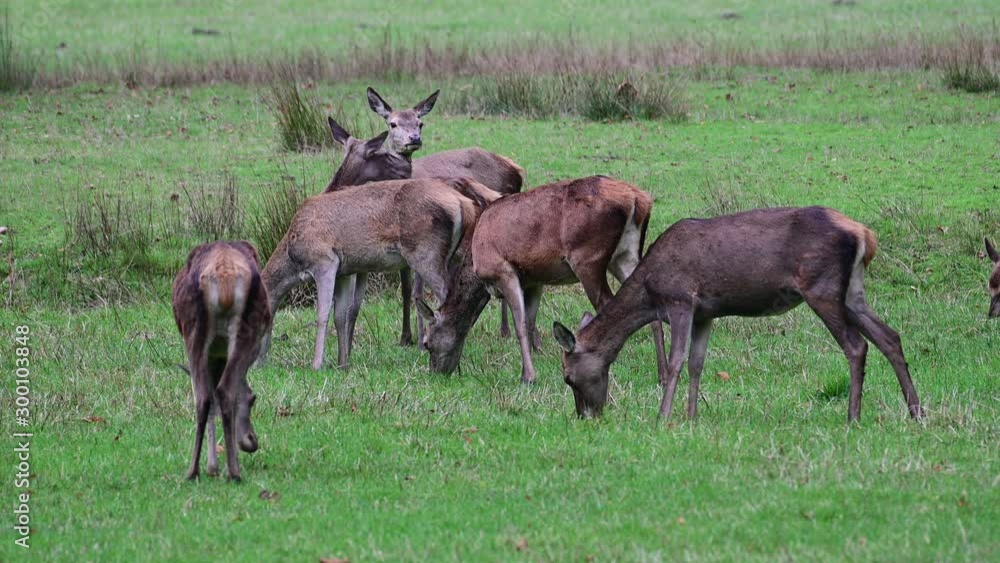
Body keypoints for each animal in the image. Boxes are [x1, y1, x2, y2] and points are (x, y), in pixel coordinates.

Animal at [172, 241, 271, 481]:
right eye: (253, 400)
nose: (252, 442)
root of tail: (225, 275)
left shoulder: (215, 354)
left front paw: (214, 467)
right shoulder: (218, 354)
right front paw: (216, 466)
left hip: (194, 330)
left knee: (208, 394)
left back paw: (211, 470)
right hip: (233, 332)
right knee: (216, 392)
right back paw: (218, 470)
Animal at [258, 170, 496, 370]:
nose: (258, 364)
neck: (293, 253)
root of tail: (464, 203)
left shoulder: (325, 261)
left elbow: (323, 313)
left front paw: (316, 365)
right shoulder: (345, 272)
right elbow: (341, 315)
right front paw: (342, 364)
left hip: (425, 254)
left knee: (447, 297)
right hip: (451, 254)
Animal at [416, 175, 668, 385]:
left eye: (427, 343)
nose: (437, 373)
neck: (476, 262)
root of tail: (638, 199)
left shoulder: (503, 270)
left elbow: (520, 325)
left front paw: (528, 377)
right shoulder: (534, 281)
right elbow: (530, 322)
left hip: (588, 258)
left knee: (609, 307)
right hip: (625, 255)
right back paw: (662, 374)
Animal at [552, 206, 925, 423]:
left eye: (568, 377)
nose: (585, 417)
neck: (649, 290)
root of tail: (865, 234)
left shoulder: (680, 299)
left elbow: (675, 362)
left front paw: (663, 418)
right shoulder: (706, 313)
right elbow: (697, 363)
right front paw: (691, 417)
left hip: (822, 287)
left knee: (856, 345)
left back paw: (853, 416)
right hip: (852, 291)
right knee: (890, 336)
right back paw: (916, 412)